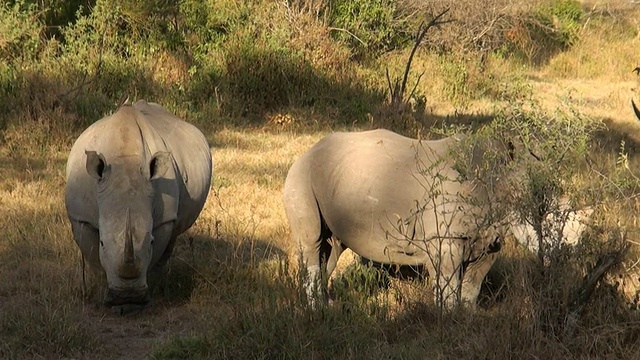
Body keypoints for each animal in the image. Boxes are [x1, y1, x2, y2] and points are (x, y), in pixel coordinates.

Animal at [66, 100, 214, 308]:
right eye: (102, 242)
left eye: (150, 240)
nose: (127, 296)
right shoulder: (82, 218)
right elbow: (94, 257)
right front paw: (104, 293)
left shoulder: (164, 219)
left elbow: (155, 253)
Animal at [282, 129, 508, 306]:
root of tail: (305, 152)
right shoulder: (442, 237)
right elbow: (447, 285)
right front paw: (446, 319)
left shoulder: (488, 241)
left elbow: (472, 286)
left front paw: (465, 319)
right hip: (300, 176)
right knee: (312, 241)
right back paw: (317, 311)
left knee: (332, 248)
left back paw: (328, 307)